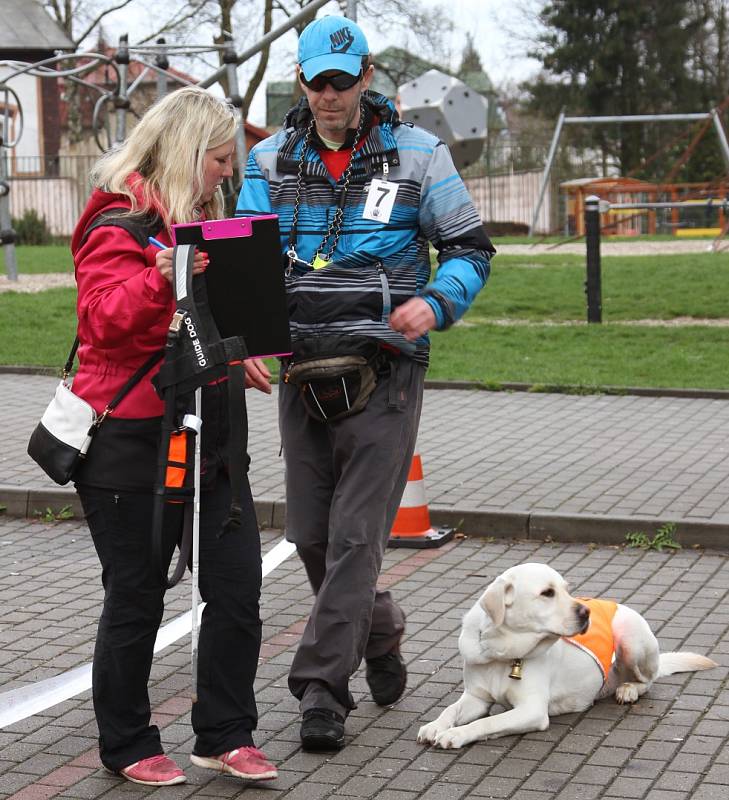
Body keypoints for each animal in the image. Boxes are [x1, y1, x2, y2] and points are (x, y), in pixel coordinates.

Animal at [418, 564, 712, 752]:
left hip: (631, 637)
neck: (504, 651)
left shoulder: (532, 711)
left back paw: (629, 689)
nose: (586, 613)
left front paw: (455, 734)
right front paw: (435, 726)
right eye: (547, 593)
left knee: (648, 679)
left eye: (567, 589)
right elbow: (450, 710)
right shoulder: (475, 698)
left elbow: (487, 722)